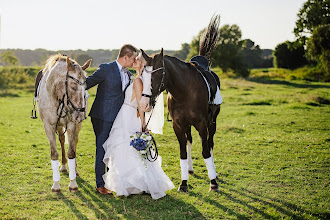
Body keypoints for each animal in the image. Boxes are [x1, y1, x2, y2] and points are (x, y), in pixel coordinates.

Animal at [36, 54, 91, 192]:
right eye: (73, 86)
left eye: (85, 88)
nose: (81, 115)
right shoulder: (48, 126)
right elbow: (54, 154)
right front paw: (56, 185)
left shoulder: (71, 123)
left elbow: (71, 152)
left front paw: (73, 184)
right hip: (60, 126)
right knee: (61, 140)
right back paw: (65, 166)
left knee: (74, 142)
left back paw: (74, 170)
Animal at [141, 15, 222, 191]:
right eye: (142, 76)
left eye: (155, 76)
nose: (143, 104)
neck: (185, 92)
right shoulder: (178, 124)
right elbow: (182, 152)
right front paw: (183, 182)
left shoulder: (202, 123)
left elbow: (205, 151)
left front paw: (213, 182)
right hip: (188, 124)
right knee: (190, 140)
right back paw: (190, 169)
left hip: (212, 121)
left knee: (210, 143)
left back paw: (214, 173)